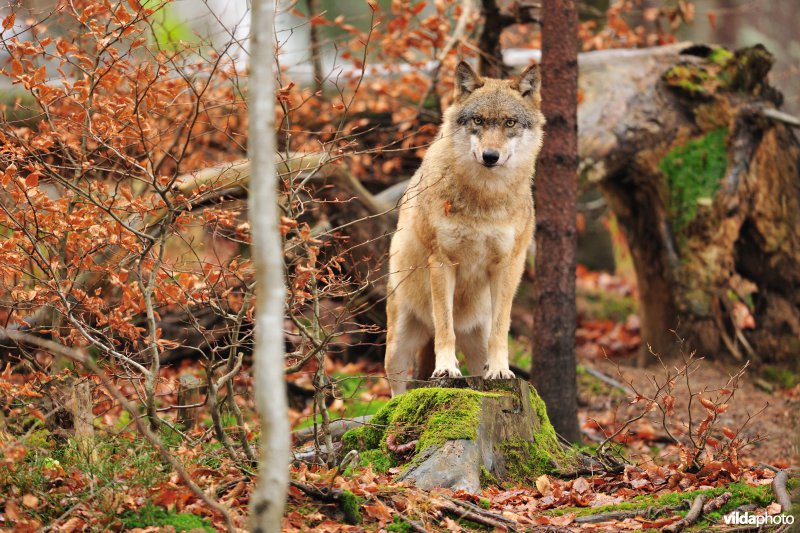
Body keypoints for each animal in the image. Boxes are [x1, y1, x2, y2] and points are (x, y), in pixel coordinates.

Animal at [384, 61, 545, 396]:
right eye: (478, 120)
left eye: (510, 122)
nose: (490, 156)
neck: (484, 198)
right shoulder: (443, 262)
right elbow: (445, 327)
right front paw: (446, 368)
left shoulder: (508, 266)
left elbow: (501, 330)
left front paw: (501, 370)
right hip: (397, 347)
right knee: (398, 392)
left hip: (475, 338)